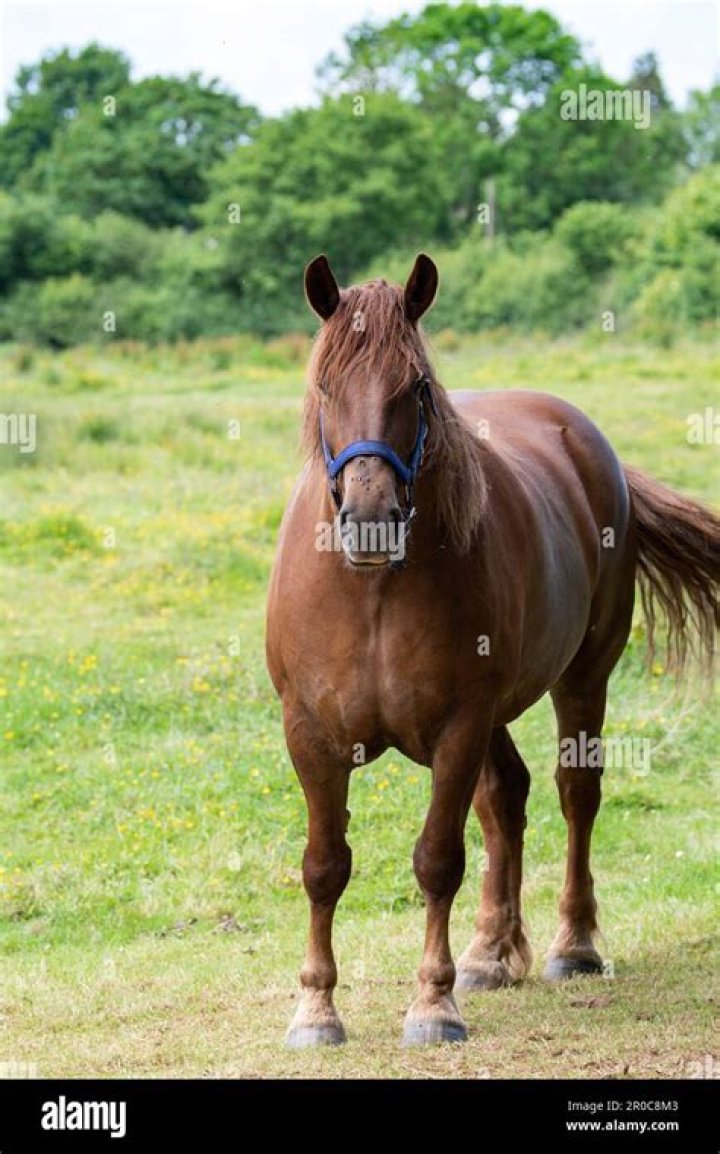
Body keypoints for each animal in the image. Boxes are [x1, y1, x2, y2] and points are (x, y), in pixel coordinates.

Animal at [265, 254, 719, 1047]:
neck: (371, 593)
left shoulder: (458, 727)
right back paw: (489, 952)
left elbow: (437, 860)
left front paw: (433, 1003)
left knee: (576, 794)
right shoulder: (311, 734)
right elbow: (324, 866)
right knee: (506, 797)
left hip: (581, 680)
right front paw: (316, 1010)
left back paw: (574, 946)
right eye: (324, 386)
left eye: (416, 386)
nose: (372, 517)